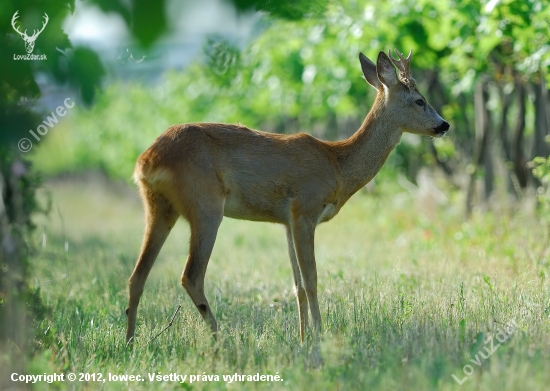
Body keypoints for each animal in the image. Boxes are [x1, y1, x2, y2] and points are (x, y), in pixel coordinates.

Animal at [127, 50, 450, 344]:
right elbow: (312, 280)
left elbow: (297, 285)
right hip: (205, 205)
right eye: (419, 100)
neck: (337, 165)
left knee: (137, 275)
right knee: (191, 275)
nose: (445, 125)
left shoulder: (285, 220)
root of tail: (147, 160)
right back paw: (221, 340)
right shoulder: (305, 209)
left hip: (158, 207)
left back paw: (130, 342)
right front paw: (319, 336)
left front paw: (303, 338)